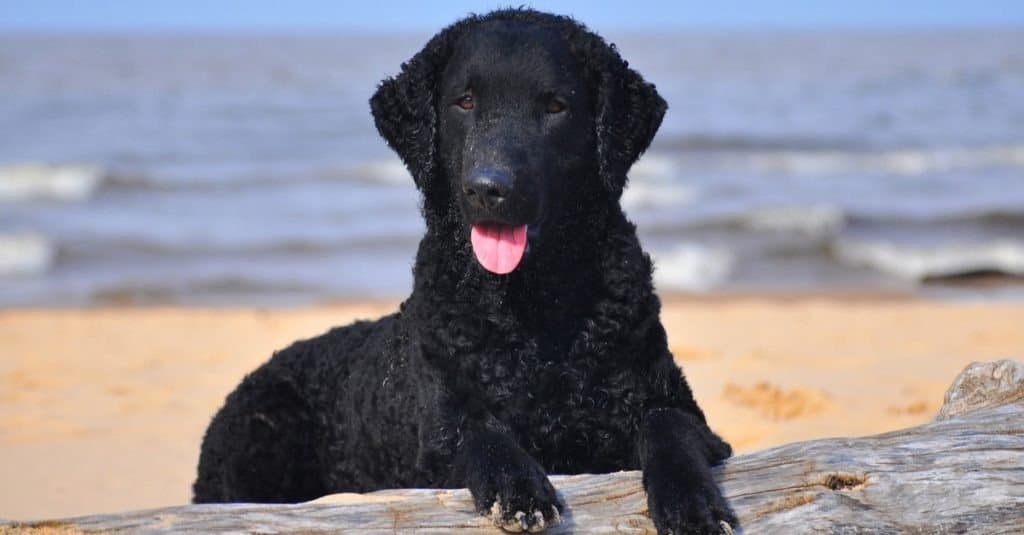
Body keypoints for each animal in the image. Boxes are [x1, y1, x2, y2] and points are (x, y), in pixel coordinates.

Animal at [193, 9, 737, 532]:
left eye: (555, 106)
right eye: (465, 102)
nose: (489, 188)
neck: (532, 314)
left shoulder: (677, 406)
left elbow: (667, 426)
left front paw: (693, 504)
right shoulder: (436, 428)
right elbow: (479, 431)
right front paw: (518, 490)